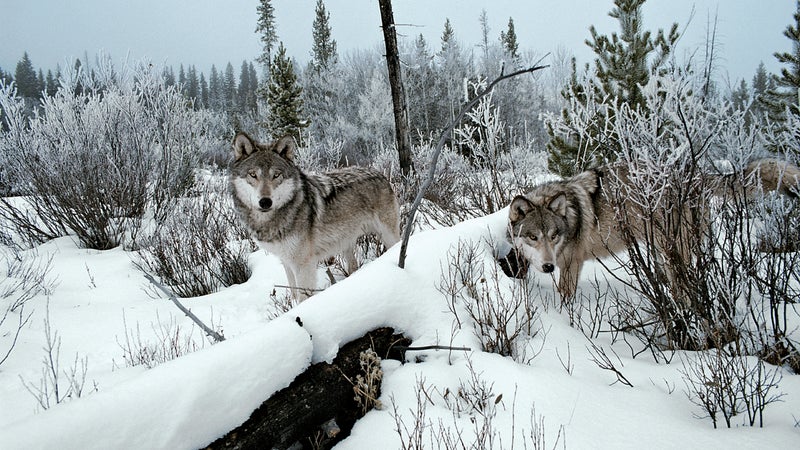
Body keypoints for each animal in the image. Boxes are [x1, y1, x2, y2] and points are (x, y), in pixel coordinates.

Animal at [230, 134, 404, 302]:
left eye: (276, 175)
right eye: (253, 175)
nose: (265, 202)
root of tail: (379, 173)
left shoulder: (304, 265)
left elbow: (302, 298)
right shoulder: (286, 261)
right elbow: (294, 294)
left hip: (387, 236)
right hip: (346, 242)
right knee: (353, 266)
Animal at [506, 160, 800, 300]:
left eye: (553, 236)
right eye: (533, 237)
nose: (548, 267)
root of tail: (696, 175)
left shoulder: (571, 264)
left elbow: (564, 298)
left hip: (673, 254)